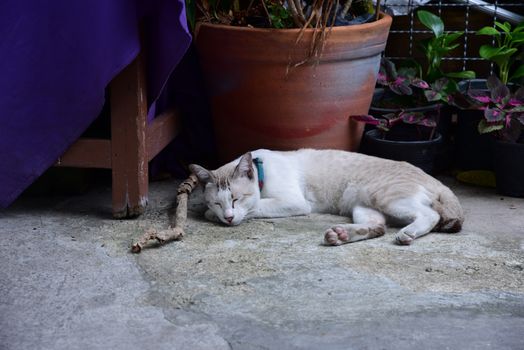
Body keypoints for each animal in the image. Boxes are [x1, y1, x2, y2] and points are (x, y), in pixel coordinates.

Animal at [189, 149, 462, 245]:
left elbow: (255, 207)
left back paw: (408, 234)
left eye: (237, 199)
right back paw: (339, 235)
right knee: (377, 227)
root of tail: (433, 178)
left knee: (430, 215)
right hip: (362, 205)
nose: (227, 218)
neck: (261, 168)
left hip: (386, 198)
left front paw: (221, 216)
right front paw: (214, 215)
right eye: (218, 202)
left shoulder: (292, 202)